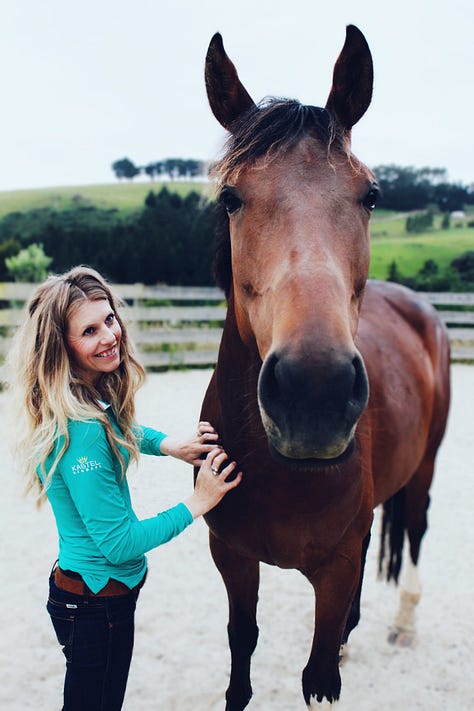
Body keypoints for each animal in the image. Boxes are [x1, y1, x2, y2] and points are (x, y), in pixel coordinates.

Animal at [199, 25, 451, 708]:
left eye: (372, 196)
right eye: (231, 197)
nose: (314, 394)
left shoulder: (333, 571)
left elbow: (319, 681)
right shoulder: (231, 557)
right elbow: (239, 661)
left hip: (424, 467)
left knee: (415, 528)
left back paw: (404, 622)